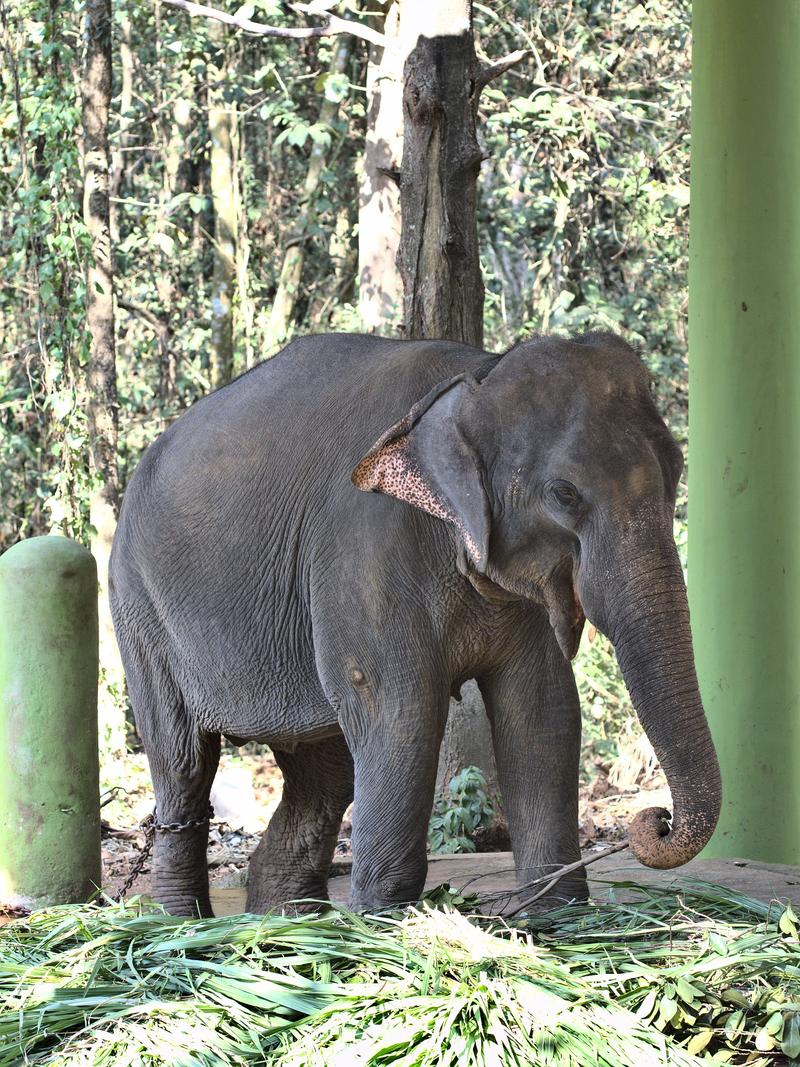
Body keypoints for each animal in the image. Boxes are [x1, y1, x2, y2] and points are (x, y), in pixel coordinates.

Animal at [109, 330, 725, 917]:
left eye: (676, 470)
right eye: (565, 494)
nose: (657, 818)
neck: (479, 373)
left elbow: (542, 707)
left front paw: (558, 914)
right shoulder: (366, 546)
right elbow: (401, 707)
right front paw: (386, 922)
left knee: (323, 772)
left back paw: (285, 922)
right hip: (139, 611)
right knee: (185, 762)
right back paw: (180, 925)